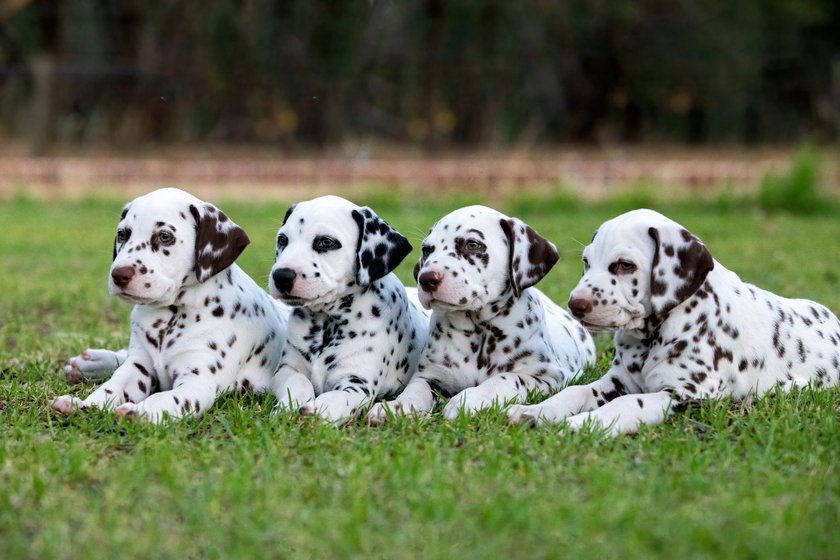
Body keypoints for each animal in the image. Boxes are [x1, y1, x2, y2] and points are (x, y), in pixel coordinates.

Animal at [50, 186, 292, 422]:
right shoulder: (138, 366)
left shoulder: (196, 382)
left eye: (164, 236)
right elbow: (112, 386)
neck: (171, 317)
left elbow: (164, 399)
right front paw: (83, 404)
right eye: (122, 234)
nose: (119, 275)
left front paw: (139, 413)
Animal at [270, 195, 430, 422]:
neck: (327, 323)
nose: (281, 276)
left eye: (326, 242)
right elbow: (298, 381)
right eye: (283, 240)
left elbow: (337, 398)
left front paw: (318, 410)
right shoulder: (287, 369)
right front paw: (288, 406)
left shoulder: (356, 384)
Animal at [368, 206, 596, 424]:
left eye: (472, 244)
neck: (479, 332)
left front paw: (470, 398)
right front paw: (396, 406)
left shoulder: (547, 374)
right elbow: (415, 390)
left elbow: (505, 379)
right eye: (427, 250)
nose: (426, 279)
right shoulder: (429, 375)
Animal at [506, 208, 840, 436]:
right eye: (587, 262)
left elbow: (628, 404)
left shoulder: (685, 395)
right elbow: (576, 391)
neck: (655, 335)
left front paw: (581, 424)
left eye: (625, 265)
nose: (576, 304)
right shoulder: (618, 380)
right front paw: (537, 410)